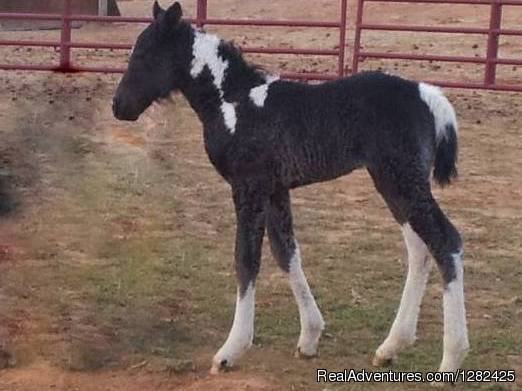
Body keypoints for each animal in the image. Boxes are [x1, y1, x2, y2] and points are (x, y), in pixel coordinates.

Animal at [112, 2, 468, 376]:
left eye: (145, 53)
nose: (118, 106)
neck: (233, 102)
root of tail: (428, 94)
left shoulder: (248, 188)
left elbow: (246, 259)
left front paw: (230, 350)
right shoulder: (275, 190)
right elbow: (286, 252)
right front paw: (310, 337)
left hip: (401, 179)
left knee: (446, 241)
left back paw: (451, 359)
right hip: (394, 185)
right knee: (420, 248)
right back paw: (390, 347)